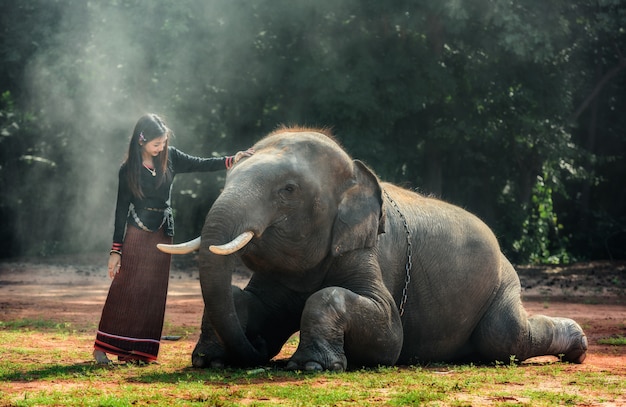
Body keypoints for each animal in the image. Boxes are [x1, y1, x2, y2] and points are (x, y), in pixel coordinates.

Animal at [156, 127, 584, 372]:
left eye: (288, 190)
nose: (258, 348)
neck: (355, 171)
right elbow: (245, 301)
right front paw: (210, 361)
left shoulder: (367, 252)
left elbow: (389, 335)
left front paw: (311, 366)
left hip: (503, 285)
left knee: (505, 337)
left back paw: (577, 347)